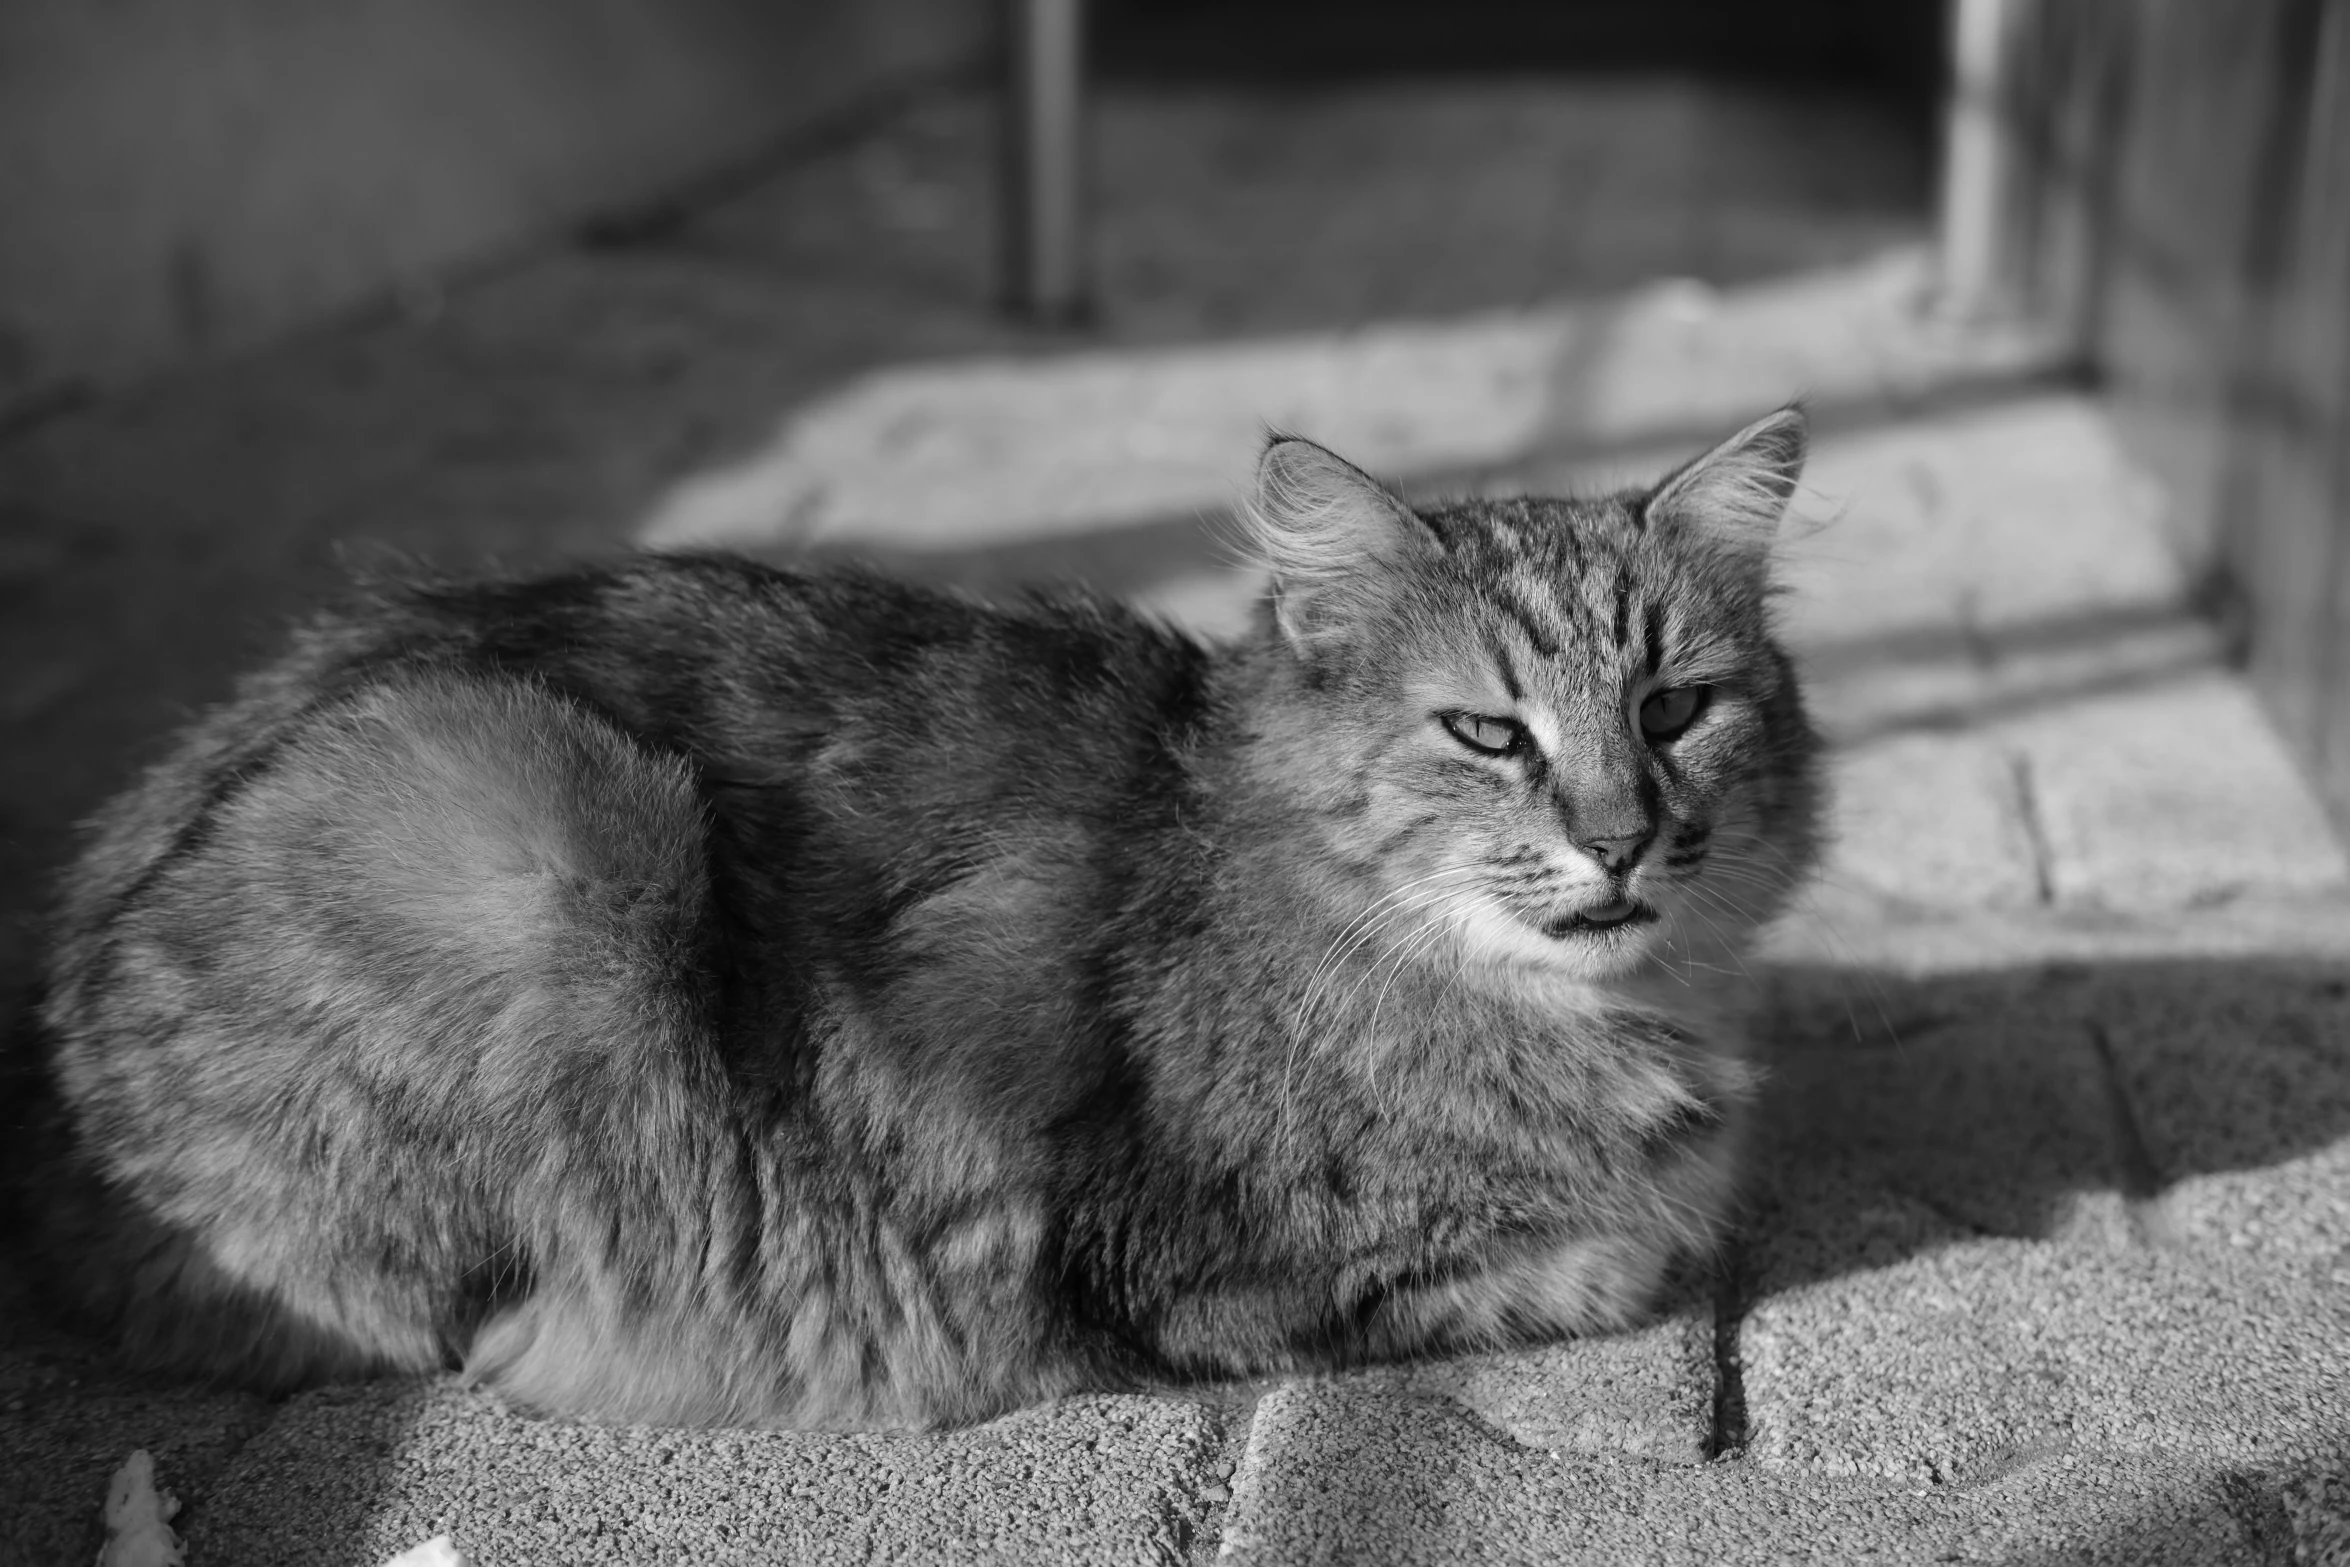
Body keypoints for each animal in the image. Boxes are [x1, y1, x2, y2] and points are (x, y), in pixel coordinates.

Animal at [27, 408, 1823, 1437]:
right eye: (1488, 735)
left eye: (1672, 708)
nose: (1621, 839)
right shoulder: (1205, 1270)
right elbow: (1603, 1252)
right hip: (527, 820)